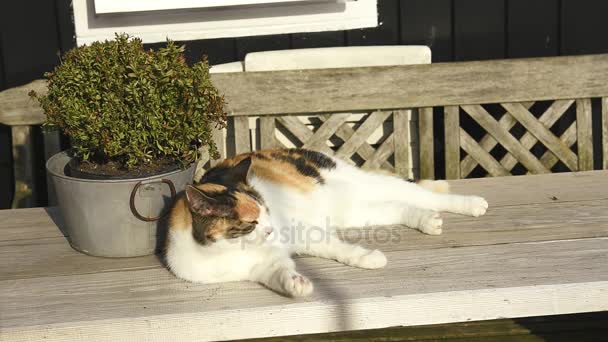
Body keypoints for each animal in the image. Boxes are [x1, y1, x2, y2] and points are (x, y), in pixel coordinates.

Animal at [164, 149, 486, 296]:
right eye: (252, 222)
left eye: (266, 210)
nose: (270, 229)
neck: (225, 252)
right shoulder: (262, 267)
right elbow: (279, 273)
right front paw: (296, 284)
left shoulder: (303, 233)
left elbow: (340, 249)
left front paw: (368, 258)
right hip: (354, 210)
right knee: (399, 206)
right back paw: (427, 220)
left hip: (364, 184)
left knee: (418, 193)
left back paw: (470, 204)